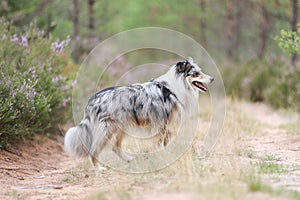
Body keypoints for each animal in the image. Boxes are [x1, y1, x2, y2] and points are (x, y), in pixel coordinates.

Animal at [63, 57, 213, 170]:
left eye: (200, 71)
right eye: (196, 73)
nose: (212, 79)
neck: (174, 88)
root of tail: (93, 99)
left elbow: (164, 144)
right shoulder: (163, 125)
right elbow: (162, 145)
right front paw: (165, 158)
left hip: (121, 126)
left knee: (115, 147)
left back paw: (128, 159)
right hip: (107, 129)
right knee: (94, 149)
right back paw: (98, 168)